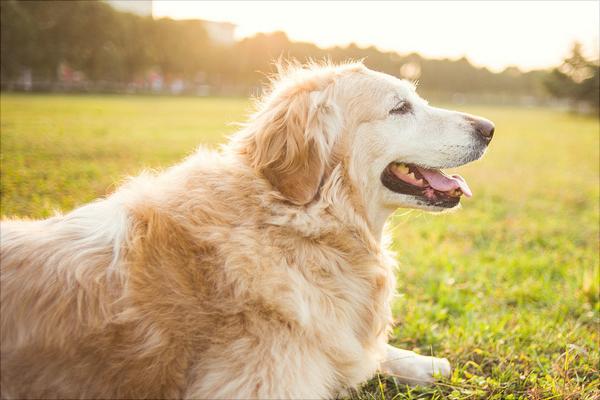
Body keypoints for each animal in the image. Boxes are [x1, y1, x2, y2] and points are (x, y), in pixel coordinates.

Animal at [2, 61, 494, 398]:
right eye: (400, 108)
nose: (489, 127)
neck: (299, 221)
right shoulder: (261, 385)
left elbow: (366, 352)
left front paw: (426, 363)